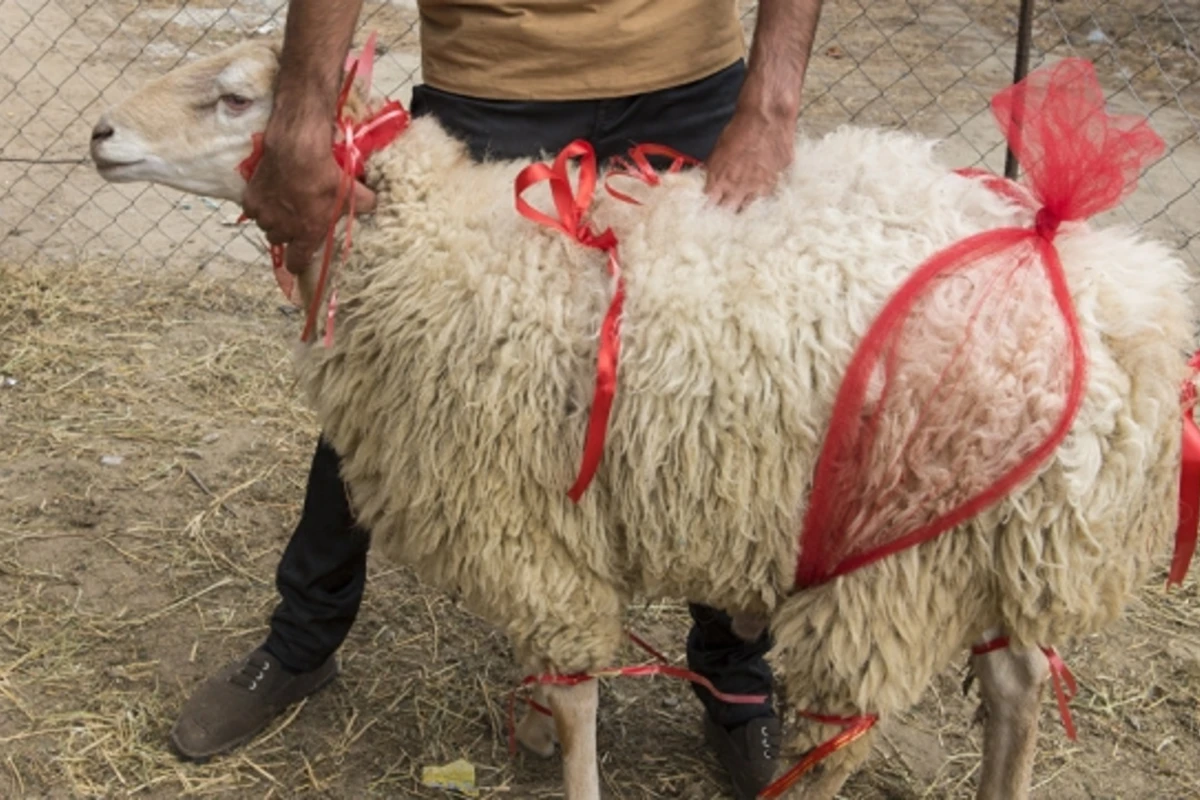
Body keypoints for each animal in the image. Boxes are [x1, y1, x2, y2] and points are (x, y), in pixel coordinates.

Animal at [93, 37, 1200, 800]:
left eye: (237, 99)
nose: (100, 134)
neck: (446, 248)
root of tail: (1116, 302)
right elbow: (554, 679)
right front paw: (535, 728)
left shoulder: (529, 527)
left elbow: (580, 684)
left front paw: (568, 758)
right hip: (997, 533)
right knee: (1016, 683)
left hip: (897, 553)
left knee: (850, 734)